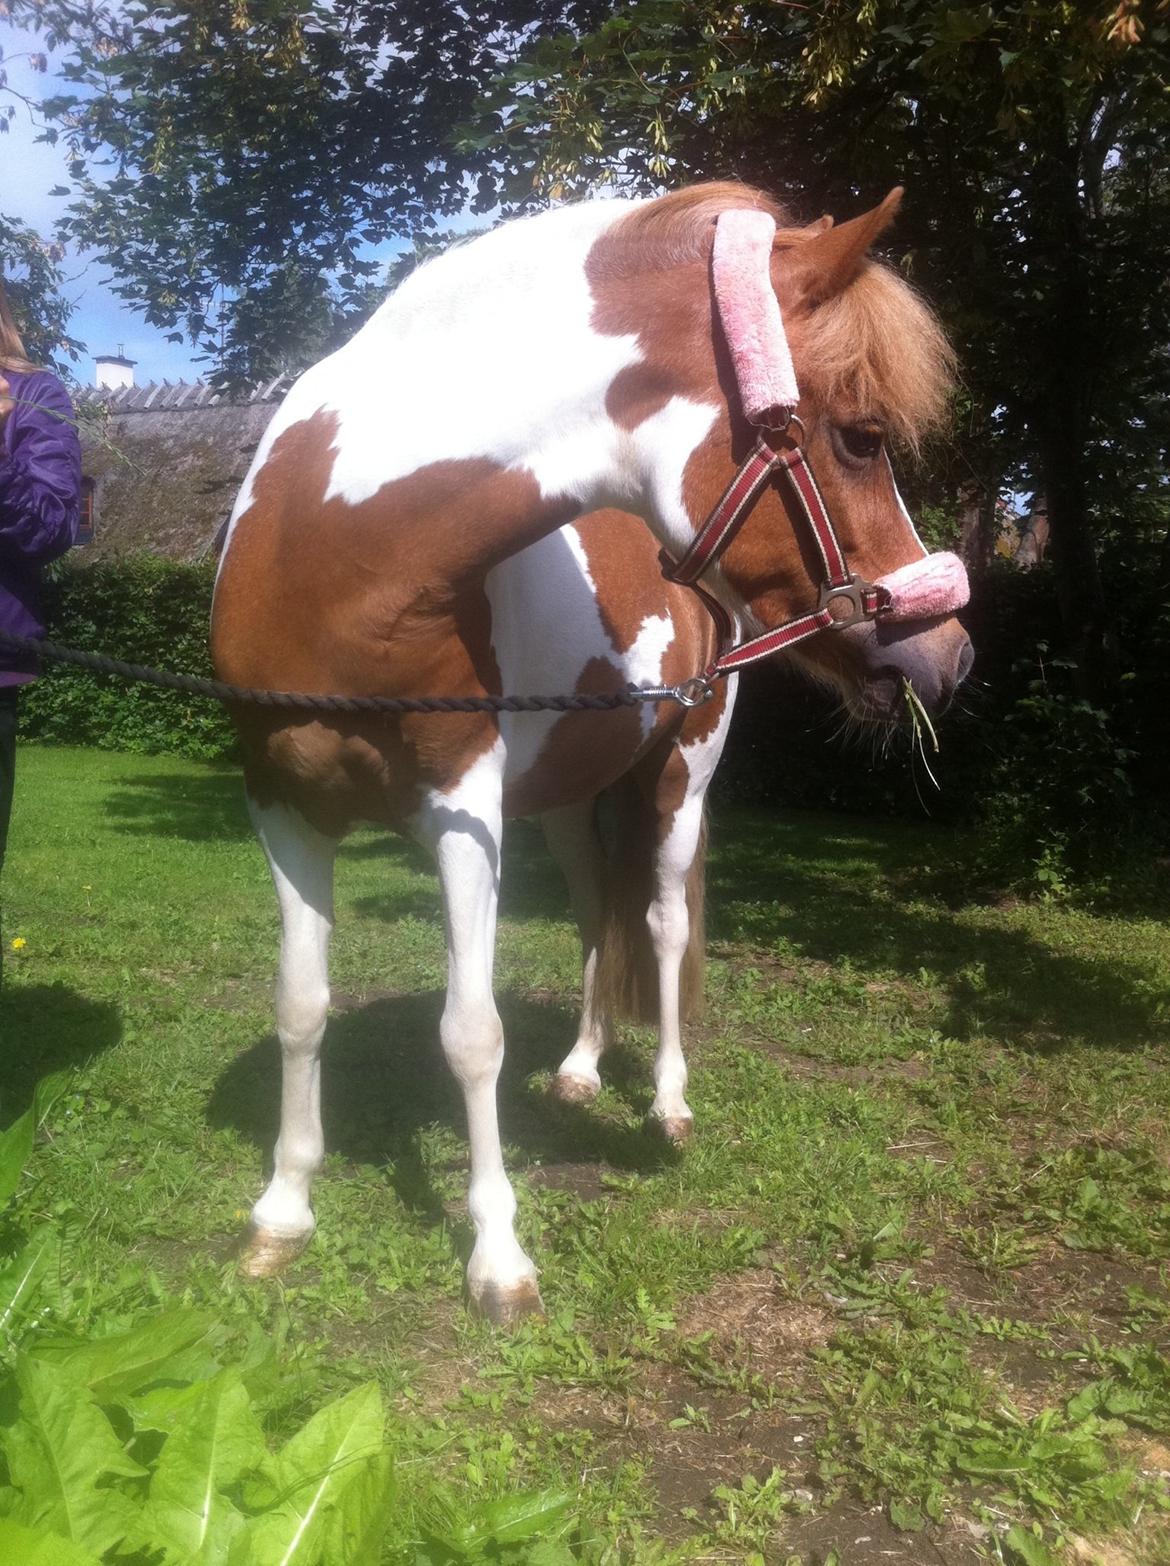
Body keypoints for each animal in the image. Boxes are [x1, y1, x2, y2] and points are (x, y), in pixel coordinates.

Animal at [213, 180, 971, 1321]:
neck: (337, 561)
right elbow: (301, 1008)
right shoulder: (282, 806)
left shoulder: (461, 809)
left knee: (657, 923)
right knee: (592, 915)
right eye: (860, 435)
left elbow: (471, 1032)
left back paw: (666, 1103)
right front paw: (281, 1215)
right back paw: (579, 1066)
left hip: (677, 784)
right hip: (569, 799)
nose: (951, 650)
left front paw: (498, 1259)